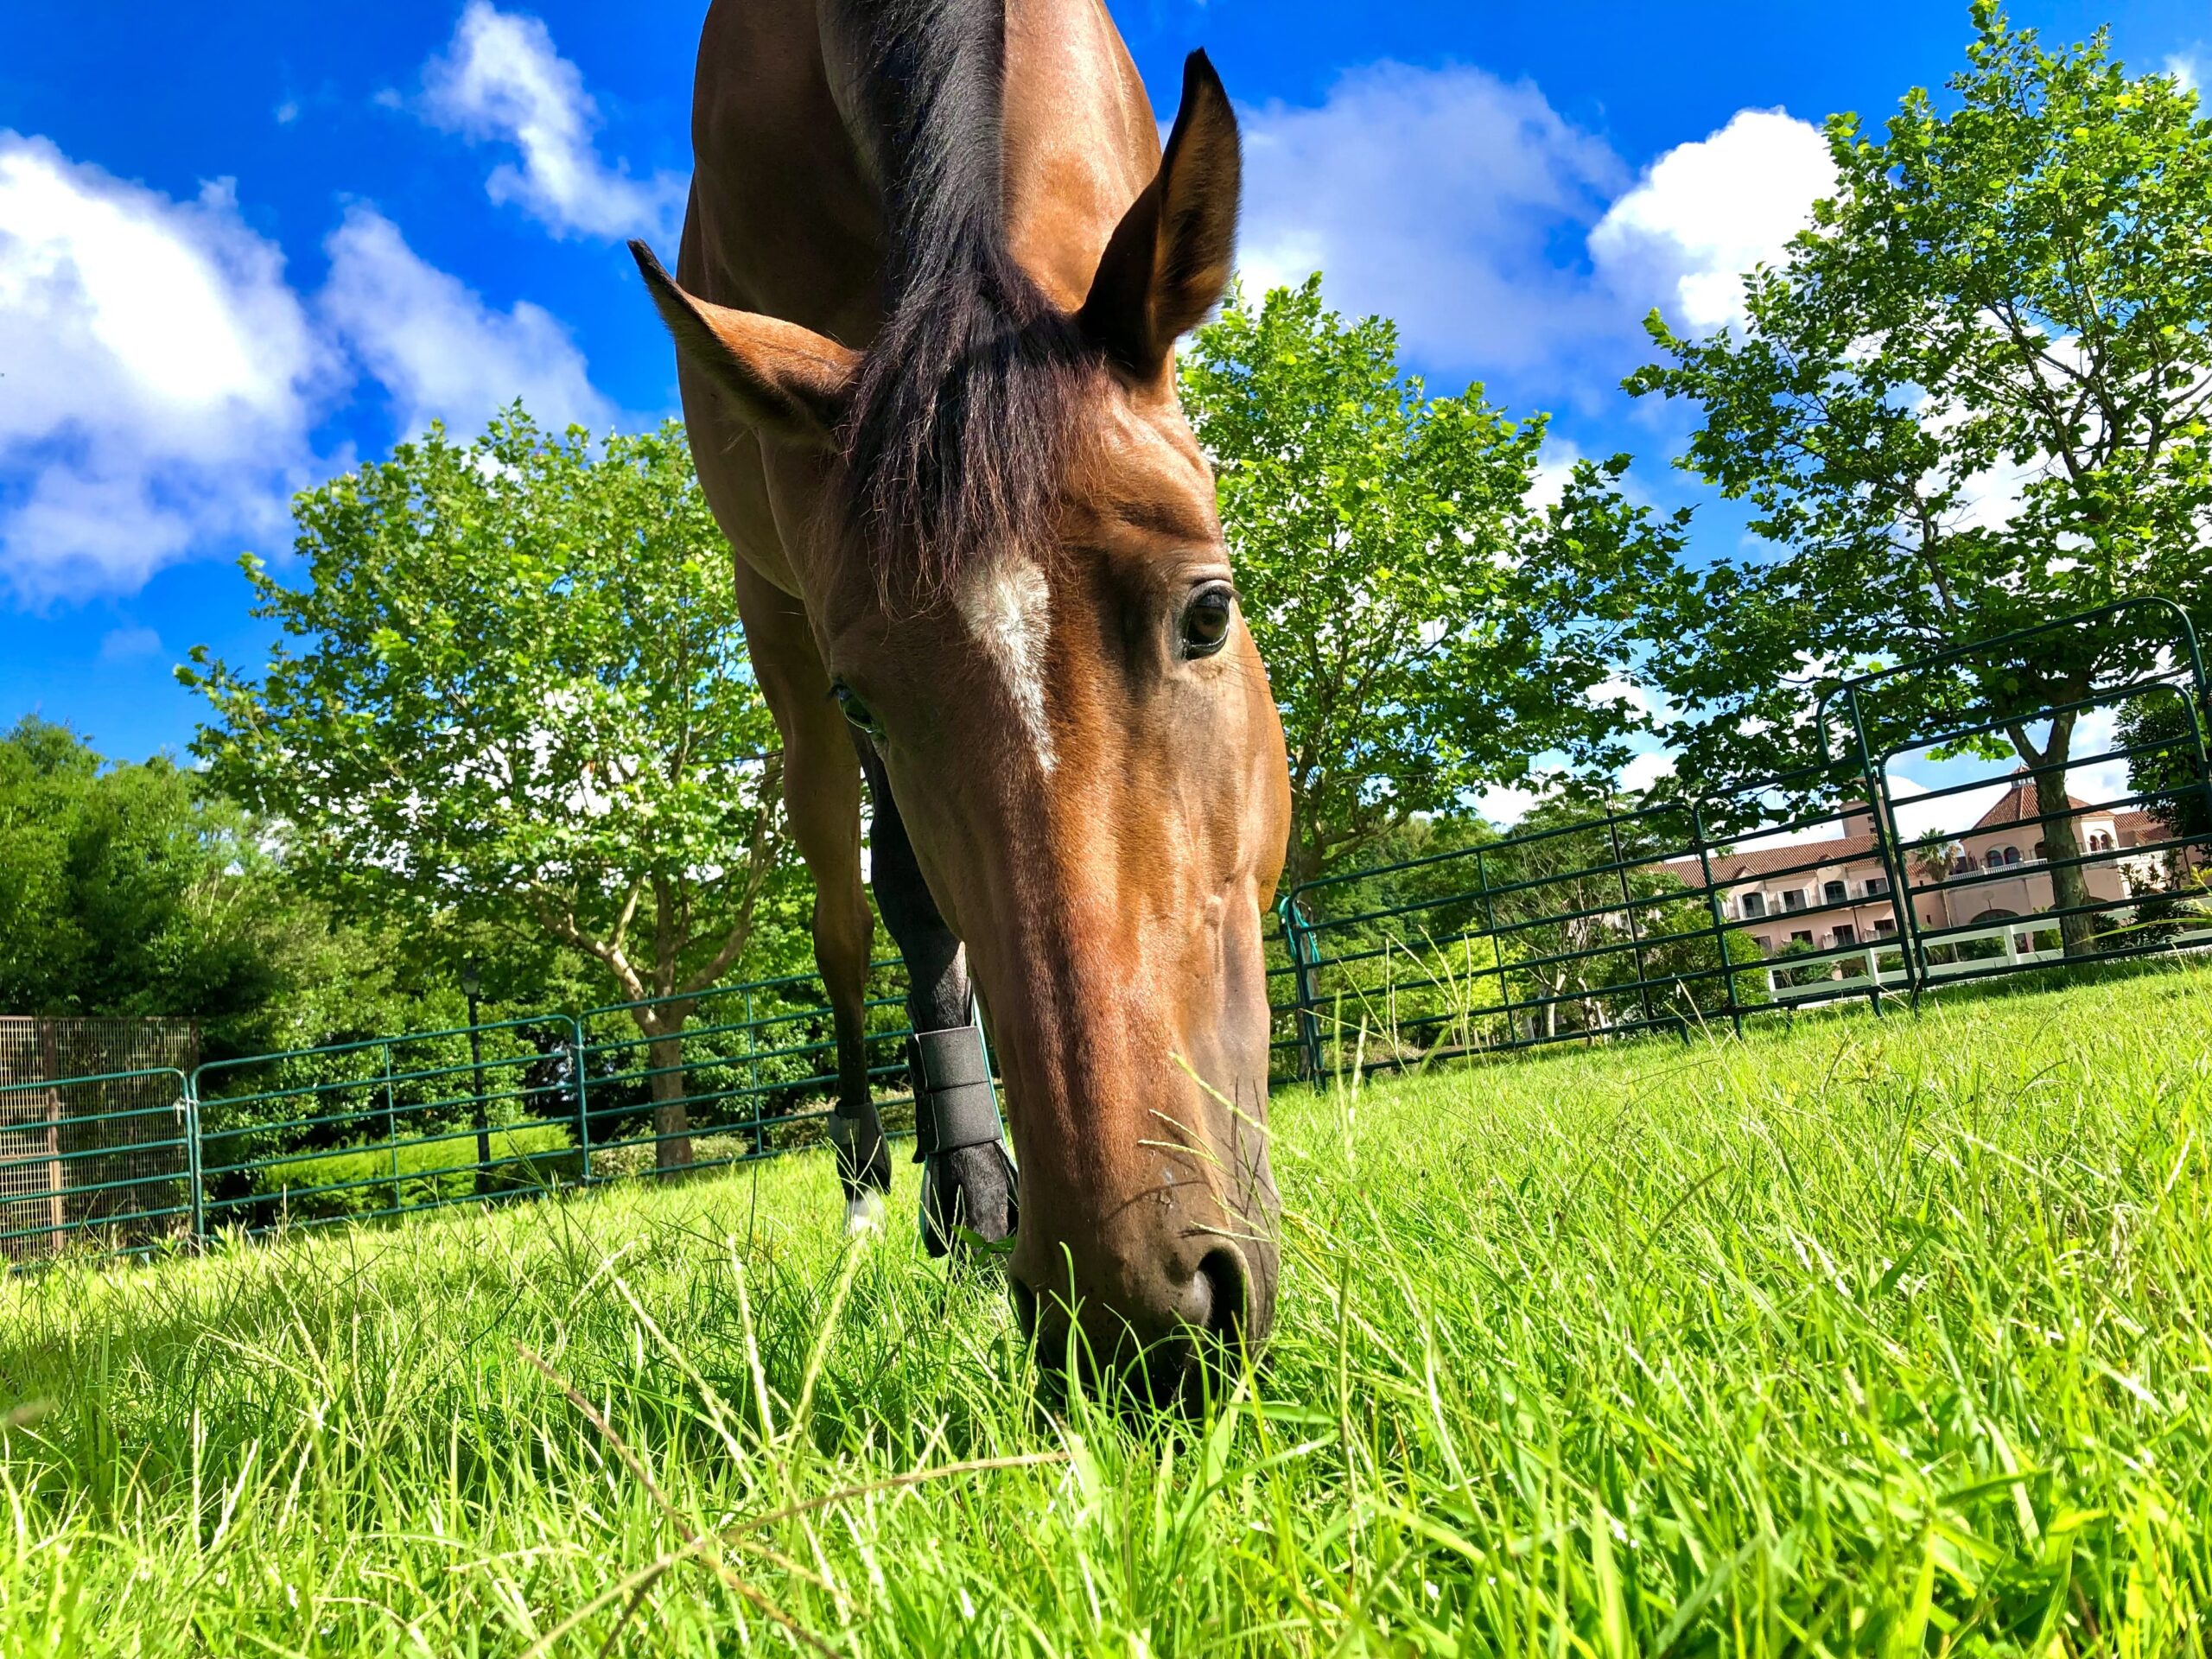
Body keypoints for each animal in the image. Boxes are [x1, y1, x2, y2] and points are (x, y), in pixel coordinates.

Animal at [632, 0, 1292, 1397]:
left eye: (1208, 613)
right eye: (868, 699)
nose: (1133, 1318)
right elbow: (907, 904)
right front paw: (965, 1188)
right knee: (851, 915)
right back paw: (903, 1189)